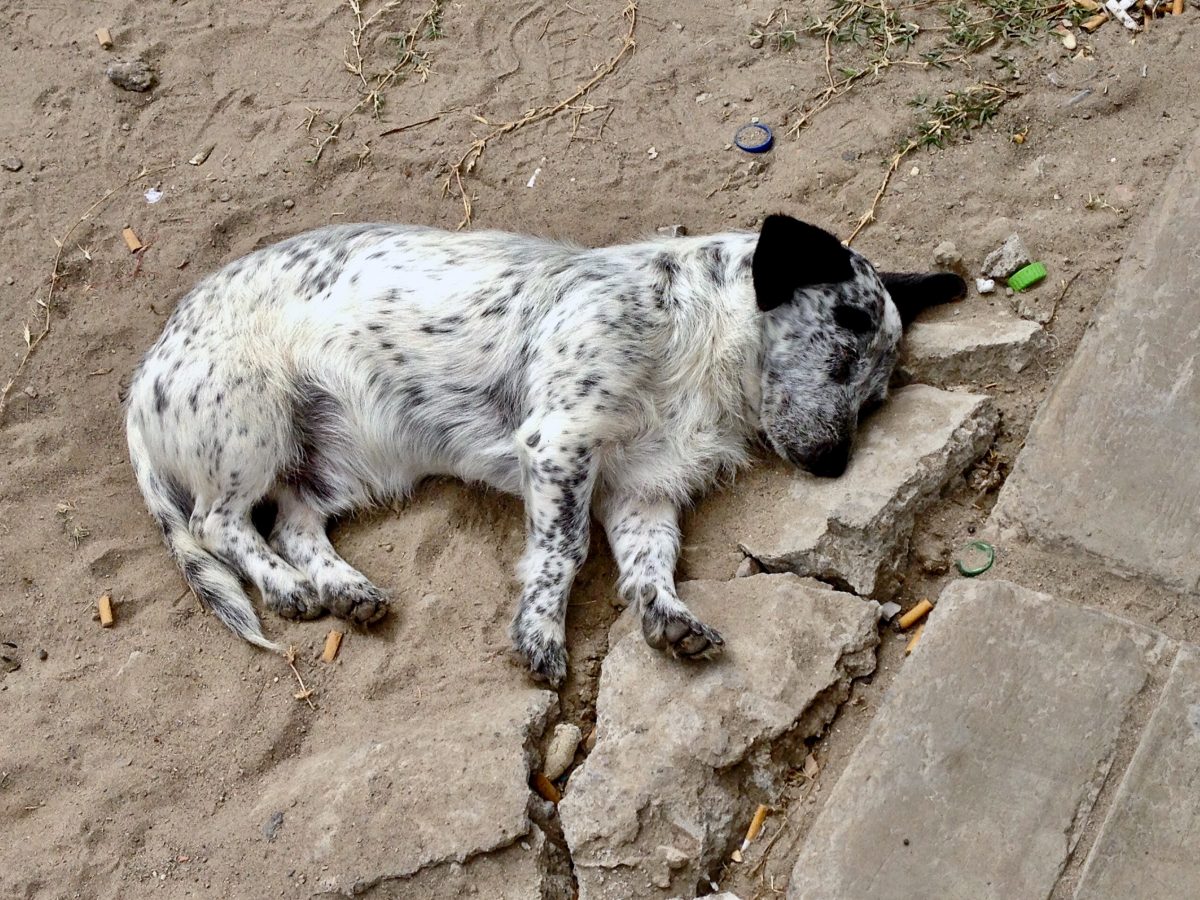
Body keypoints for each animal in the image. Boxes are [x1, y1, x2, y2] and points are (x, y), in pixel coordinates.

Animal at [124, 214, 964, 686]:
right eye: (841, 356)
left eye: (875, 399)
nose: (835, 466)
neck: (695, 343)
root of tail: (143, 377)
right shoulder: (559, 442)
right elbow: (564, 554)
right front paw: (540, 636)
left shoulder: (641, 492)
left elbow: (650, 565)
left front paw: (668, 617)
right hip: (251, 425)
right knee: (220, 524)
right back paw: (287, 587)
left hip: (347, 465)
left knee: (294, 522)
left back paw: (344, 588)